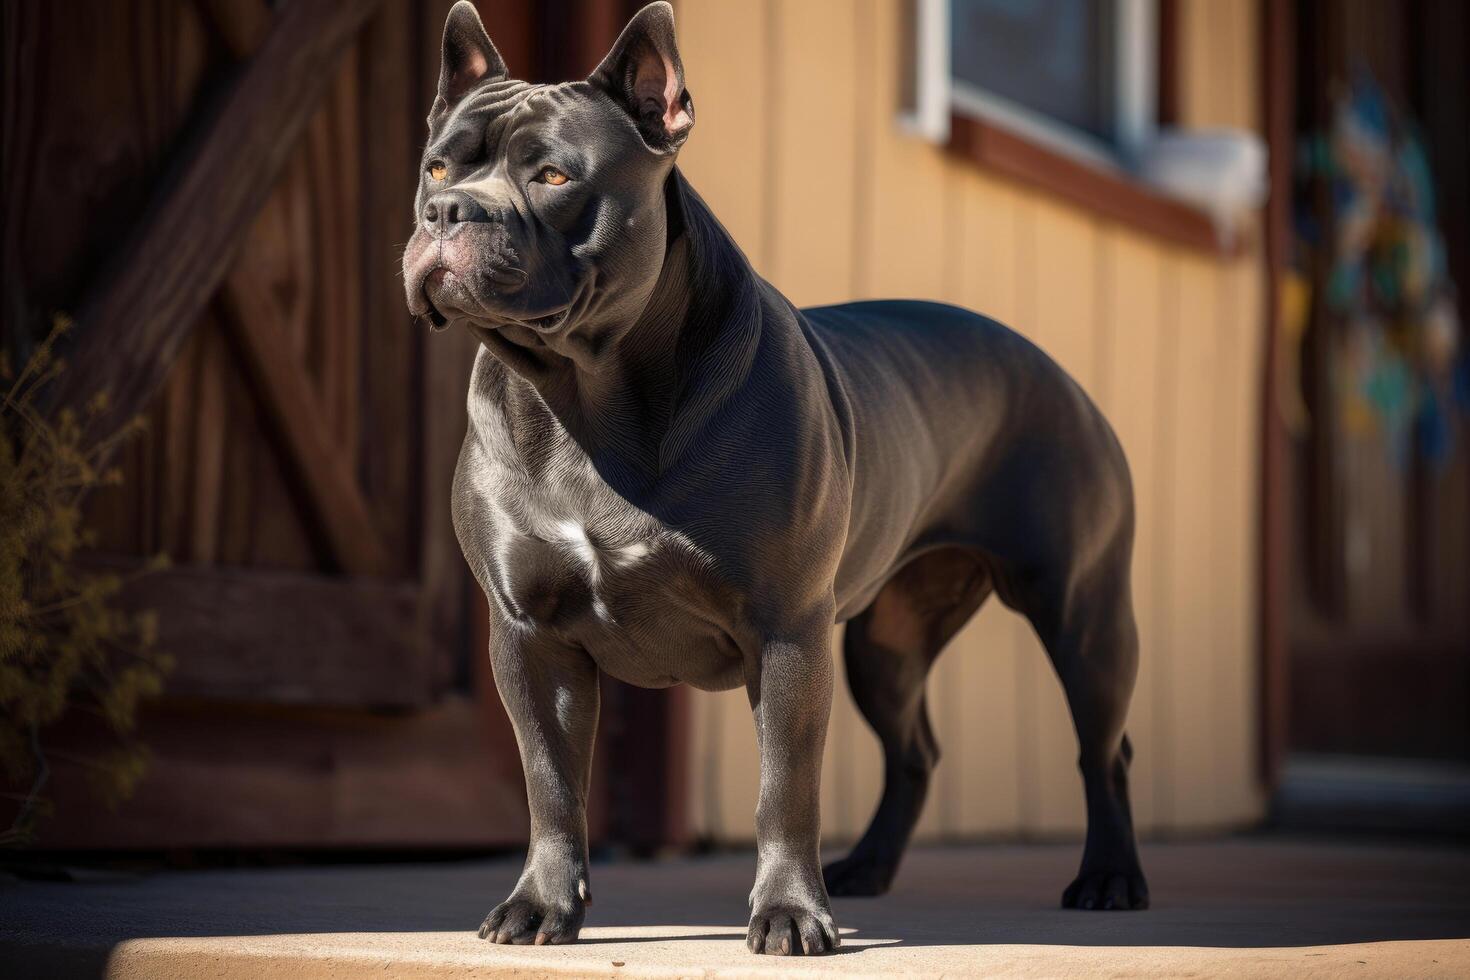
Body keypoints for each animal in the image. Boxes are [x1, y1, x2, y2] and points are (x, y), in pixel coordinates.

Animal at [402, 0, 1146, 952]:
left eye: (554, 174)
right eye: (436, 165)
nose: (446, 209)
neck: (580, 393)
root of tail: (1056, 370)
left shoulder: (786, 629)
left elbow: (783, 786)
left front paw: (790, 911)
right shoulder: (531, 635)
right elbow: (551, 782)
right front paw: (542, 904)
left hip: (1080, 612)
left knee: (1104, 749)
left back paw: (1110, 877)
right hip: (887, 639)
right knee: (915, 749)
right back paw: (868, 869)